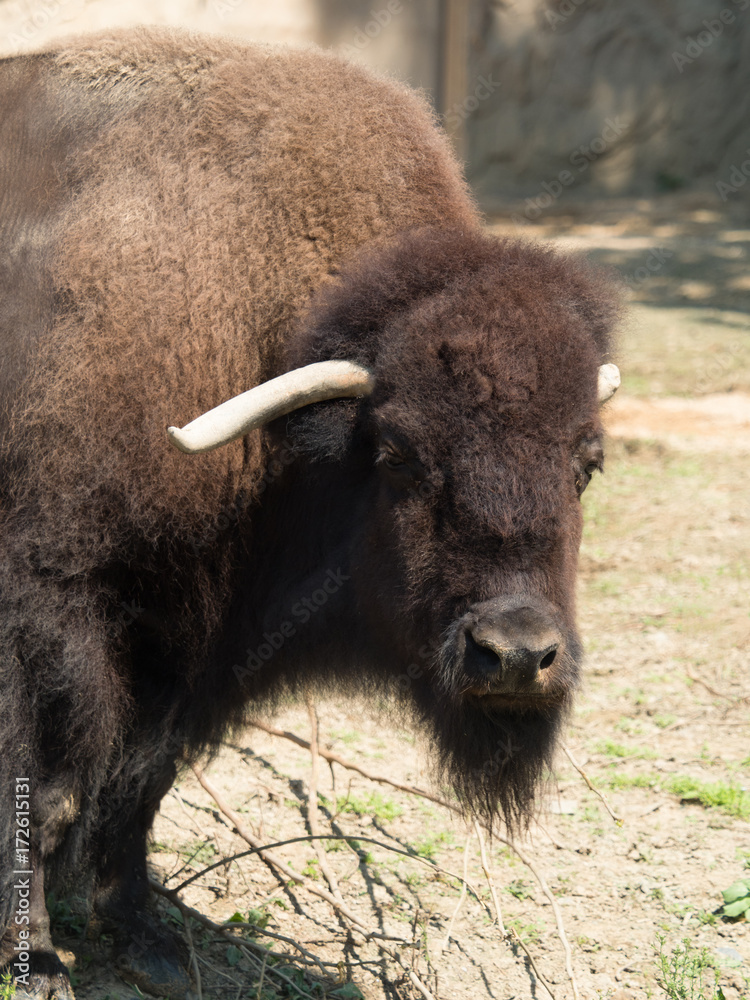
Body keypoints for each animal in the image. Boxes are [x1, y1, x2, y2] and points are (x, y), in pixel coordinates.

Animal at [0, 27, 624, 1000]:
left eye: (585, 464)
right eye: (400, 453)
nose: (517, 656)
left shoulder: (199, 650)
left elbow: (136, 786)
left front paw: (147, 941)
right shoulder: (52, 600)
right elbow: (47, 779)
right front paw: (39, 963)